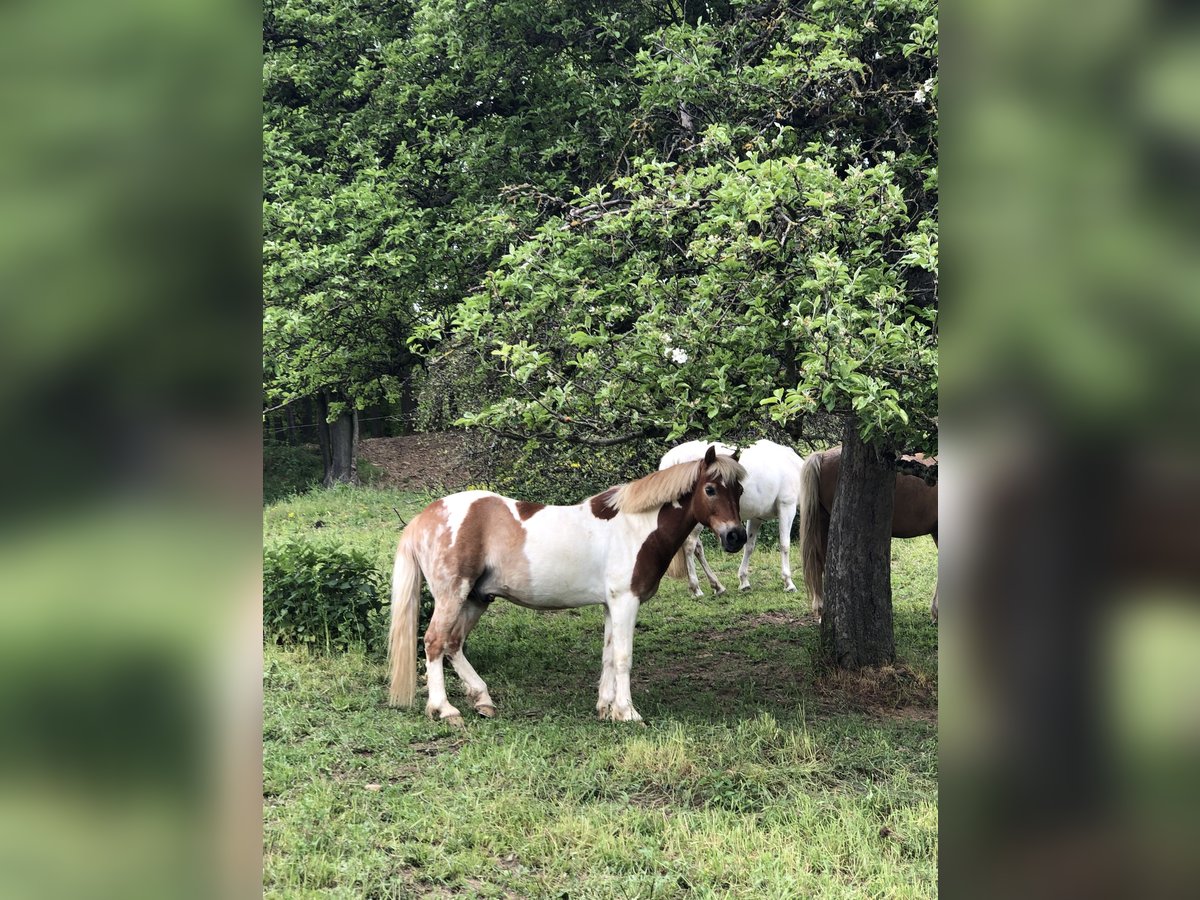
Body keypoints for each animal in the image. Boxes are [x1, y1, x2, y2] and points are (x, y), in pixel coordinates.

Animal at [384, 448, 744, 724]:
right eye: (711, 489)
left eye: (739, 491)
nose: (735, 537)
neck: (635, 527)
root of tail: (424, 518)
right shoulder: (625, 601)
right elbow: (623, 656)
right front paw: (627, 712)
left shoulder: (611, 604)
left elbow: (608, 655)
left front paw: (606, 708)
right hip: (452, 595)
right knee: (434, 642)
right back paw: (445, 709)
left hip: (476, 598)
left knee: (453, 643)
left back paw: (482, 699)